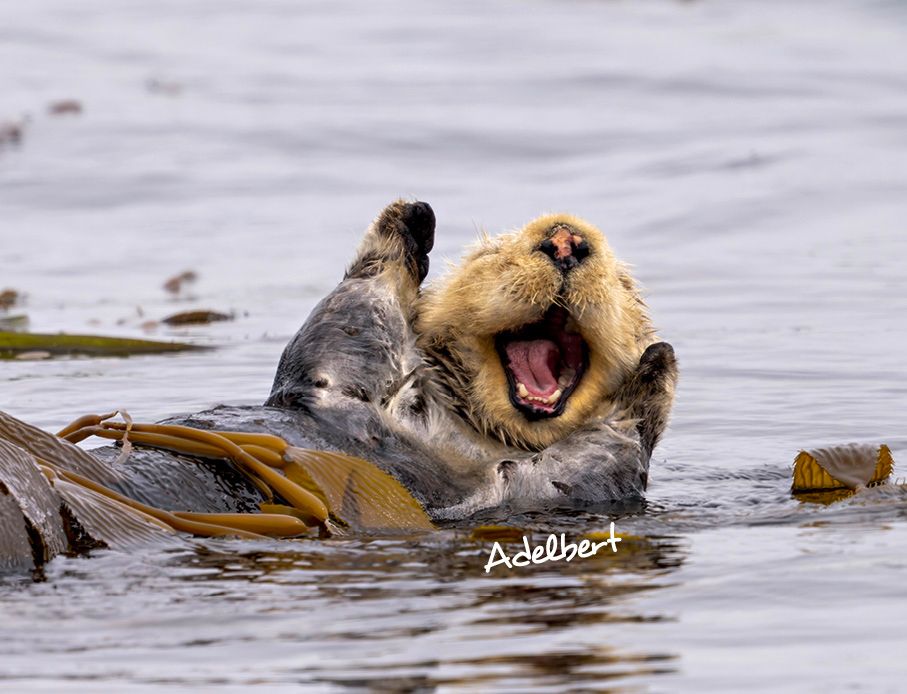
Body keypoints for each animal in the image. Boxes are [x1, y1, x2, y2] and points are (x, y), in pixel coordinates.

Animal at [1, 200, 677, 528]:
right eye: (491, 255)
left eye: (623, 283)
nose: (564, 240)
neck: (461, 432)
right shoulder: (332, 376)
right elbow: (354, 313)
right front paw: (410, 220)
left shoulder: (546, 489)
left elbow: (600, 460)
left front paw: (656, 370)